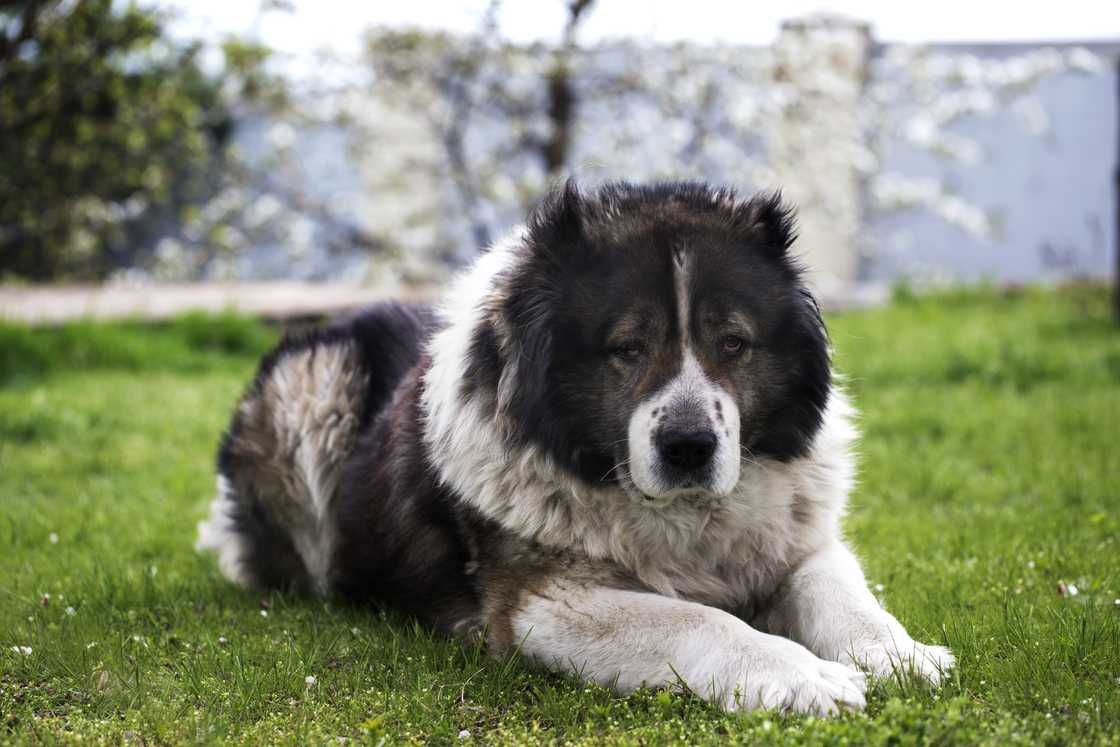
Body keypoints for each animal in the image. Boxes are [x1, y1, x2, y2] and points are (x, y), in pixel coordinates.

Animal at [197, 182, 949, 716]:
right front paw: (801, 674)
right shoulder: (543, 604)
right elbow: (699, 618)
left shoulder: (800, 544)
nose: (688, 446)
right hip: (314, 383)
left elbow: (842, 594)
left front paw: (900, 654)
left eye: (732, 343)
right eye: (627, 347)